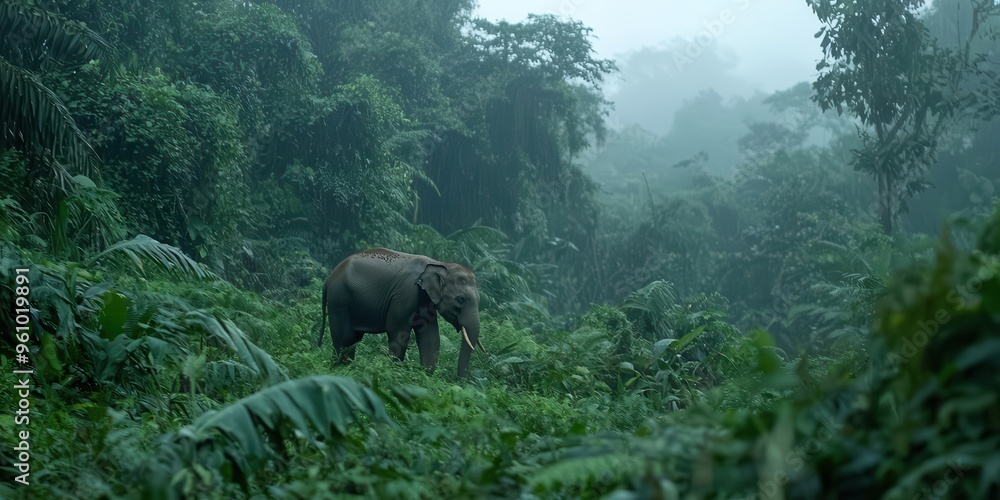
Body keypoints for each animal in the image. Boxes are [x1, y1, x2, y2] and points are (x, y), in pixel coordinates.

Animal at [318, 248, 485, 378]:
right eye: (460, 300)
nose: (460, 382)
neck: (439, 263)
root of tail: (329, 278)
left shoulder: (424, 299)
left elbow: (430, 338)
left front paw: (425, 379)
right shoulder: (405, 294)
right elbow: (397, 331)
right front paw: (394, 374)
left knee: (353, 339)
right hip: (339, 300)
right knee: (344, 339)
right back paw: (337, 372)